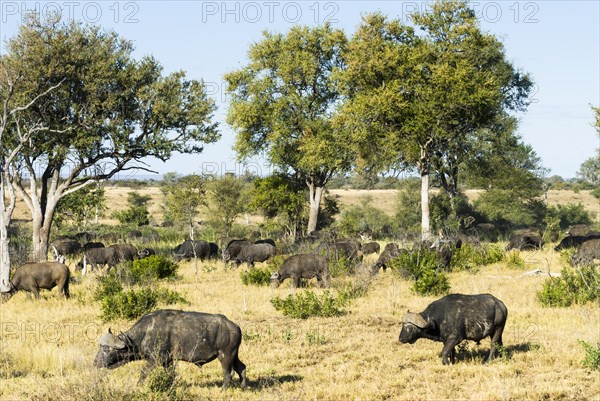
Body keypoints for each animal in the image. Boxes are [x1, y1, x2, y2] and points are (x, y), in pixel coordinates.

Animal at [92, 310, 246, 388]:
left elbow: (143, 373)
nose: (95, 363)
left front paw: (138, 385)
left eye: (106, 349)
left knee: (228, 373)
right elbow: (170, 375)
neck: (145, 333)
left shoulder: (155, 359)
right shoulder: (168, 361)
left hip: (225, 356)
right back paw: (244, 386)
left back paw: (224, 389)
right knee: (241, 368)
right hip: (234, 355)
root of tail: (235, 326)